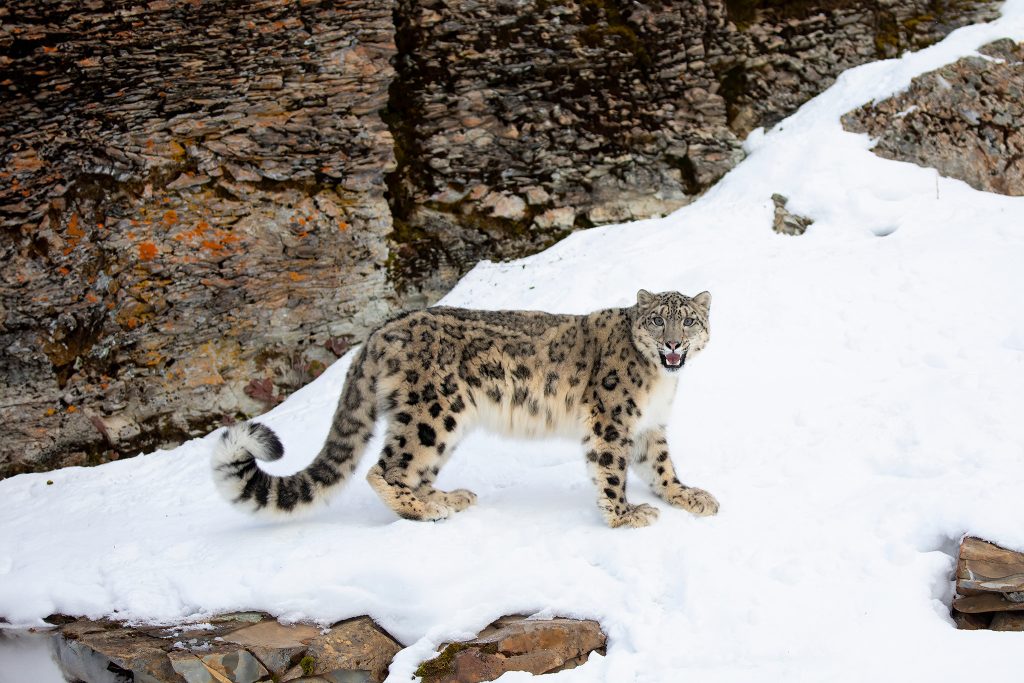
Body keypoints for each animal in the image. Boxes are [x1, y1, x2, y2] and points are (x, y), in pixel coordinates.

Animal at [211, 289, 719, 528]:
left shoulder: (649, 426)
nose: (673, 343)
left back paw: (445, 498)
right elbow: (611, 468)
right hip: (433, 412)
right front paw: (625, 515)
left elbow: (661, 465)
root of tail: (380, 331)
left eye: (689, 321)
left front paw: (690, 496)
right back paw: (425, 510)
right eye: (657, 320)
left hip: (441, 425)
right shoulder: (612, 418)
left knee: (414, 470)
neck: (660, 381)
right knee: (384, 469)